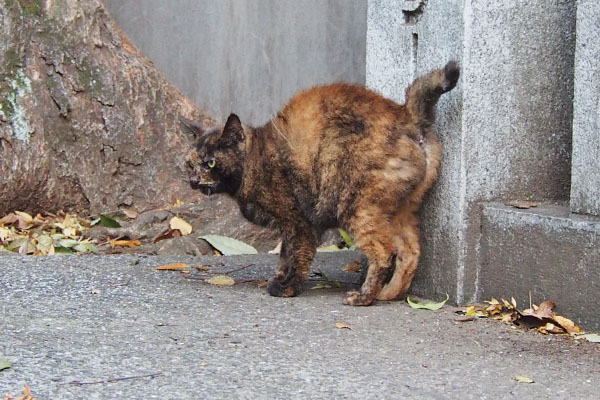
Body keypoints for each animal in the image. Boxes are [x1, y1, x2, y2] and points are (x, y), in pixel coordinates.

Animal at [188, 61, 460, 306]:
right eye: (190, 164)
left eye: (210, 163)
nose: (193, 180)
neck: (254, 160)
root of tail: (407, 116)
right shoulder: (294, 225)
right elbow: (285, 255)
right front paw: (279, 279)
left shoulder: (299, 221)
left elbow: (297, 256)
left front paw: (287, 288)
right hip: (400, 211)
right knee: (410, 252)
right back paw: (389, 293)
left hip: (357, 208)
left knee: (384, 251)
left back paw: (363, 297)